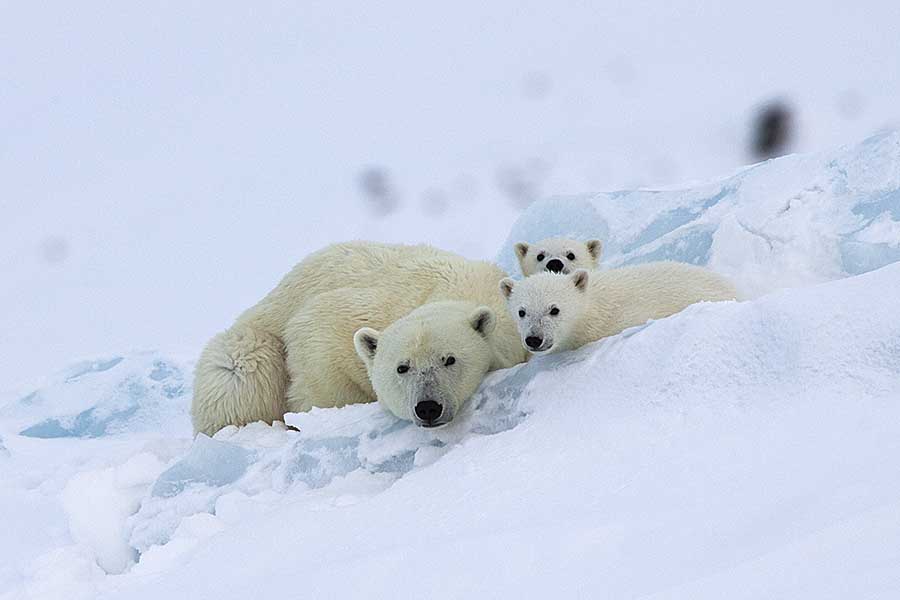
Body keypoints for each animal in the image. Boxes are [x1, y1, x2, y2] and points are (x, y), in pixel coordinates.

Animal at [190, 240, 528, 436]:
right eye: (402, 367)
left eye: (449, 359)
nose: (428, 407)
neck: (465, 288)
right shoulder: (337, 321)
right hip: (254, 342)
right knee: (236, 375)